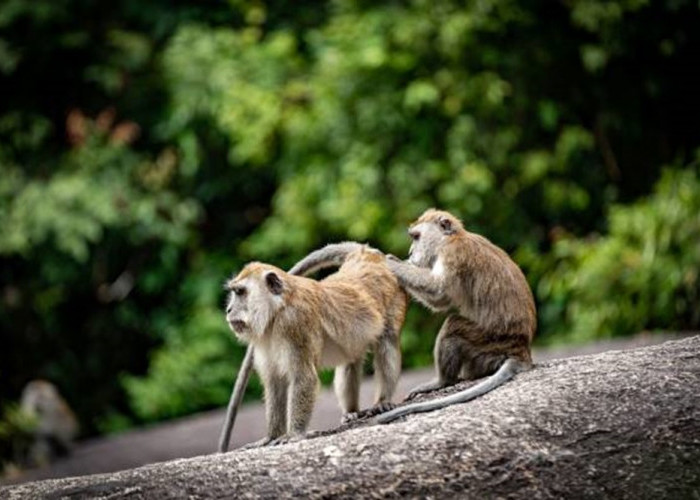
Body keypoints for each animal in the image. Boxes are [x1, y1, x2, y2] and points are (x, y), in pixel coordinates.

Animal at [224, 243, 408, 450]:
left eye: (240, 292)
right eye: (234, 292)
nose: (229, 309)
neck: (277, 310)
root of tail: (367, 255)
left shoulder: (294, 323)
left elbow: (304, 378)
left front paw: (294, 435)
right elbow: (275, 383)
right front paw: (271, 436)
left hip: (395, 299)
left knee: (387, 342)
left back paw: (383, 401)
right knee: (351, 360)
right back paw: (351, 411)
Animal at [378, 209, 536, 424]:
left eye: (416, 237)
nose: (410, 253)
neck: (451, 238)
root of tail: (520, 350)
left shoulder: (452, 255)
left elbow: (438, 294)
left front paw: (391, 263)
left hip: (489, 344)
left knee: (453, 326)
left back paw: (442, 381)